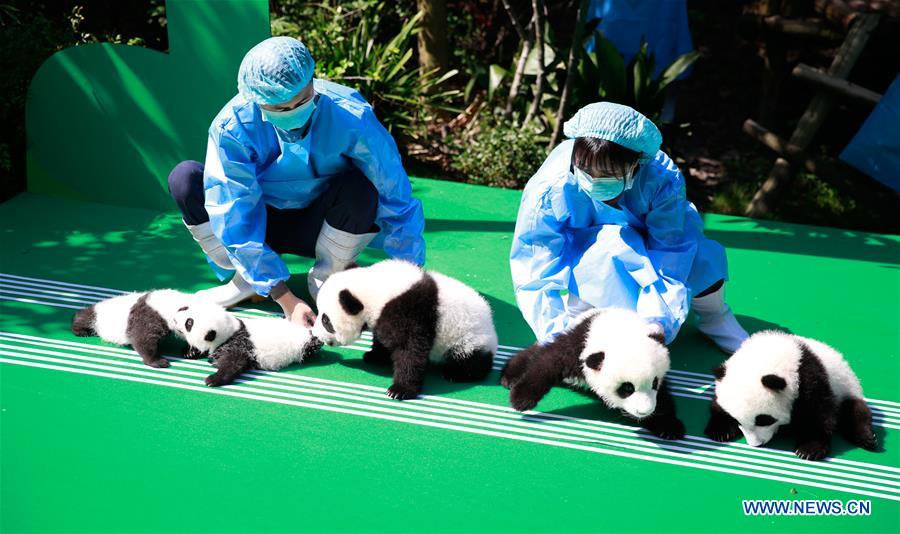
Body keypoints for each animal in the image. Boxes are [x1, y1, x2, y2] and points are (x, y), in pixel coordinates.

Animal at [173, 302, 323, 387]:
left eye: (189, 323)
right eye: (185, 308)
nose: (175, 317)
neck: (231, 330)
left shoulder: (239, 344)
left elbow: (235, 363)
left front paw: (213, 379)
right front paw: (190, 352)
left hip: (302, 346)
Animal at [311, 259, 498, 400]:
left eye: (326, 320)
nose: (315, 334)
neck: (376, 287)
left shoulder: (412, 311)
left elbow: (411, 349)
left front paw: (400, 390)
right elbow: (383, 337)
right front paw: (375, 356)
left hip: (468, 338)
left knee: (472, 360)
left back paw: (456, 373)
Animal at [501, 307, 685, 440]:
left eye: (654, 383)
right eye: (627, 388)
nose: (644, 411)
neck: (618, 330)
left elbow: (663, 396)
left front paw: (669, 426)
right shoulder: (578, 344)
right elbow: (548, 363)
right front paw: (521, 400)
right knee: (535, 353)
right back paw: (510, 376)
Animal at [704, 330, 877, 461]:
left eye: (764, 420)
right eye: (736, 420)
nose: (756, 444)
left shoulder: (810, 377)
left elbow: (817, 412)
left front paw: (809, 449)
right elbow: (717, 404)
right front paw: (720, 431)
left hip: (845, 388)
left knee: (855, 410)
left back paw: (867, 438)